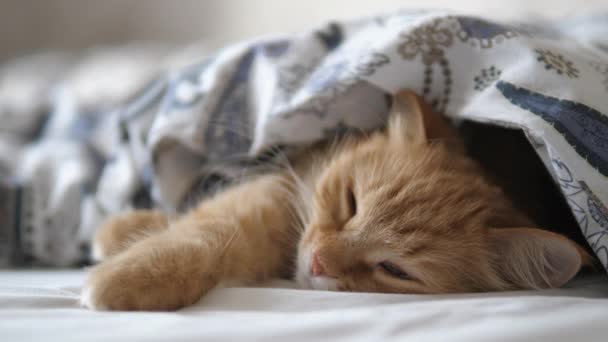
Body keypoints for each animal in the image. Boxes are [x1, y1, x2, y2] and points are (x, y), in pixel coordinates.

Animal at [81, 90, 592, 310]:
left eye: (394, 270)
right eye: (350, 203)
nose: (319, 262)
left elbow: (216, 232)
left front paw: (128, 275)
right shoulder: (282, 191)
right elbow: (212, 222)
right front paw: (126, 238)